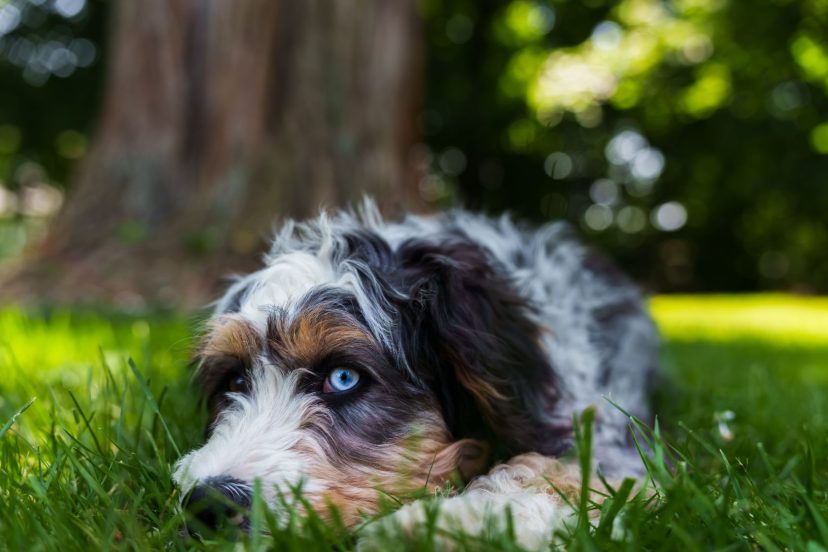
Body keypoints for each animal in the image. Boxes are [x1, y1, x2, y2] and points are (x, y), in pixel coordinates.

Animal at [173, 199, 660, 548]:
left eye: (344, 377)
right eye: (235, 382)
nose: (208, 506)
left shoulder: (609, 437)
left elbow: (557, 471)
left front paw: (448, 525)